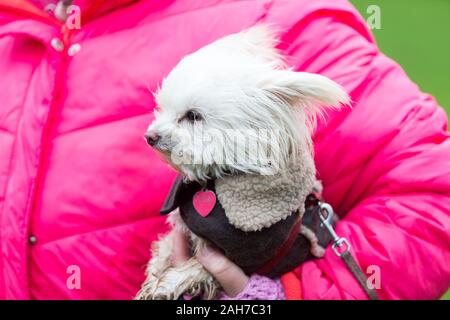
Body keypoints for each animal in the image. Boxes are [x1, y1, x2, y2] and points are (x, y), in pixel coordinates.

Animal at [136, 25, 348, 300]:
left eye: (193, 116)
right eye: (162, 108)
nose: (150, 136)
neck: (214, 183)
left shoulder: (243, 259)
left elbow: (197, 268)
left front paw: (165, 285)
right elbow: (166, 249)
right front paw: (155, 272)